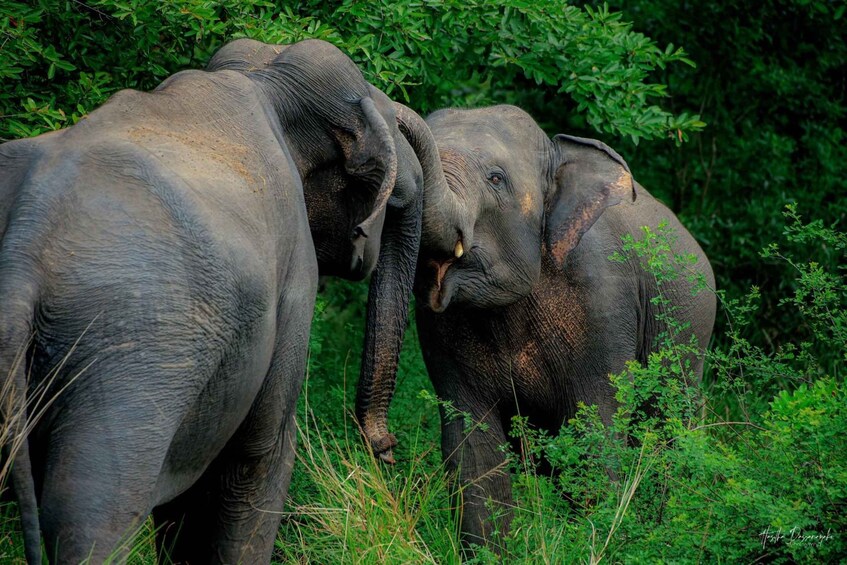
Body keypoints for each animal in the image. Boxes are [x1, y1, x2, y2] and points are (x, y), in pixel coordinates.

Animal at [0, 38, 453, 563]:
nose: (388, 450)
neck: (264, 77)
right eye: (401, 193)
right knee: (92, 514)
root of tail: (23, 246)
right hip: (132, 357)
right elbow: (260, 451)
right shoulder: (293, 276)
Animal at [358, 104, 717, 551]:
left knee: (668, 435)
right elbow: (472, 447)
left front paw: (596, 544)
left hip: (691, 333)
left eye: (496, 178)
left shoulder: (604, 305)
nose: (387, 449)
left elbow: (595, 433)